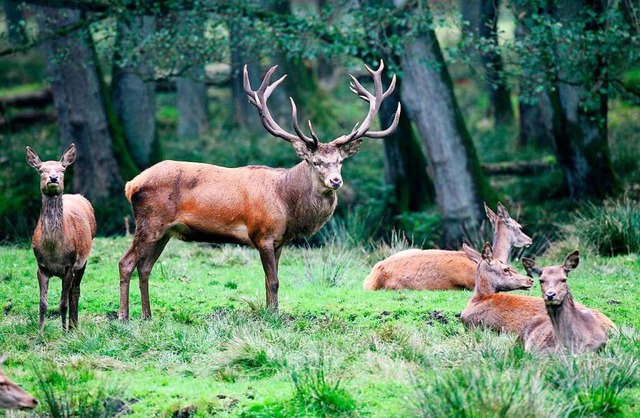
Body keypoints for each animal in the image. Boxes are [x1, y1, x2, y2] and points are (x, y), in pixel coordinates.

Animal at [25, 144, 96, 330]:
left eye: (62, 169)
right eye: (41, 170)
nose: (53, 177)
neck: (53, 250)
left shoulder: (69, 264)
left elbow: (63, 303)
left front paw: (63, 332)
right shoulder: (41, 267)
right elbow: (42, 304)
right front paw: (40, 332)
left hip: (84, 259)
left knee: (75, 290)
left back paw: (73, 326)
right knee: (72, 291)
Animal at [118, 59, 400, 320]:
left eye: (340, 161)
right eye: (315, 161)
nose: (335, 181)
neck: (287, 205)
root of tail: (131, 185)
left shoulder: (280, 241)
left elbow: (270, 281)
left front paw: (271, 311)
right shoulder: (262, 234)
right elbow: (273, 281)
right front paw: (273, 316)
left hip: (165, 231)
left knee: (145, 267)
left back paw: (147, 315)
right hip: (150, 223)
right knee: (126, 263)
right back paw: (124, 317)